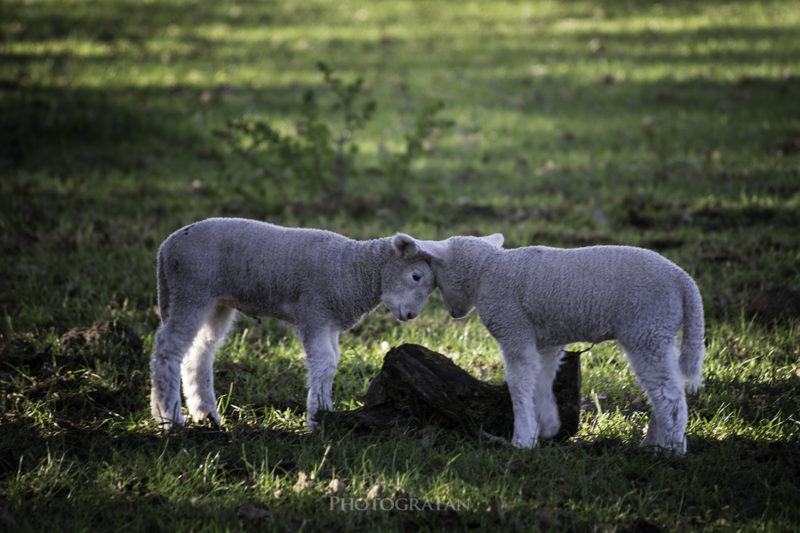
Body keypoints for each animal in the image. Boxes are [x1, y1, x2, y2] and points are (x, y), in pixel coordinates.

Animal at [150, 218, 438, 430]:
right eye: (415, 276)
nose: (411, 315)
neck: (352, 269)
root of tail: (165, 247)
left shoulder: (329, 323)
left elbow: (333, 361)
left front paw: (325, 414)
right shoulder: (315, 313)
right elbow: (324, 362)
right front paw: (318, 418)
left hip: (215, 302)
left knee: (199, 353)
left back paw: (205, 414)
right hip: (191, 290)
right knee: (167, 349)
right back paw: (171, 419)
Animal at [412, 236, 708, 454]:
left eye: (436, 276)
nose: (454, 314)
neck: (488, 270)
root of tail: (685, 282)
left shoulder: (513, 329)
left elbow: (518, 384)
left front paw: (522, 440)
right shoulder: (546, 342)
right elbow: (541, 382)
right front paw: (546, 427)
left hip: (646, 328)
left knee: (669, 395)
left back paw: (670, 449)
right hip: (659, 331)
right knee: (663, 387)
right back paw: (653, 443)